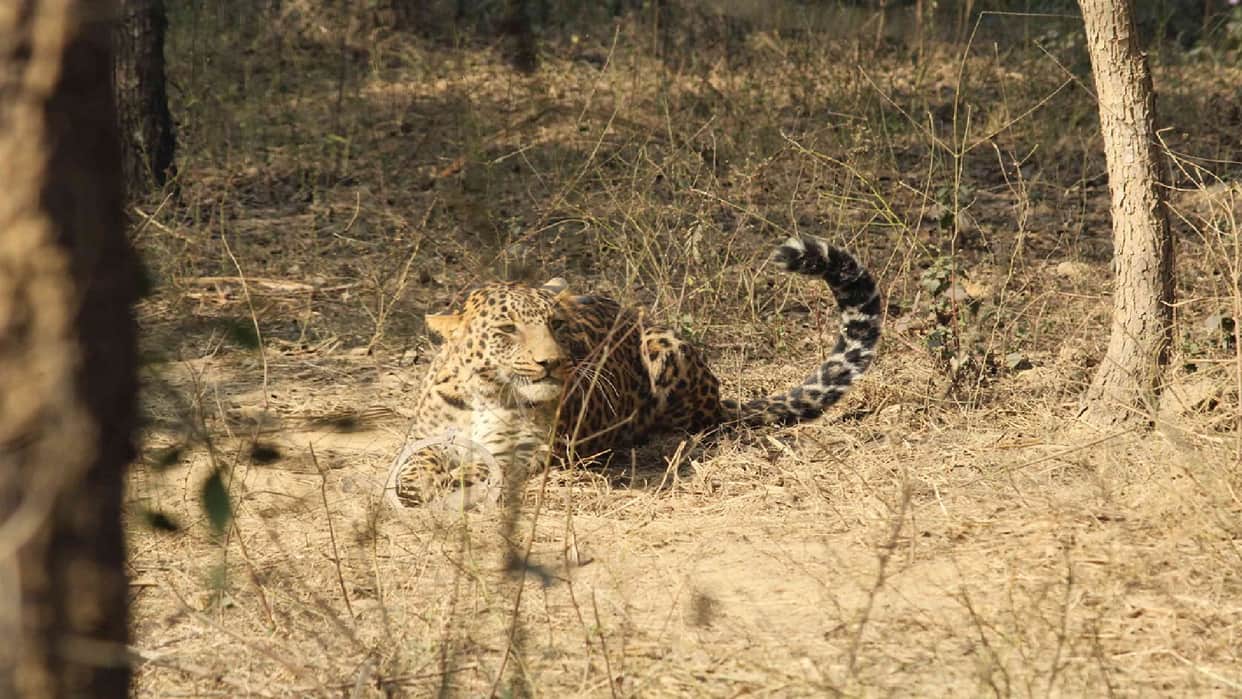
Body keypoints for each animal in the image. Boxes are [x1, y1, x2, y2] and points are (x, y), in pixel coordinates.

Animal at [390, 234, 881, 509]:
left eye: (556, 324)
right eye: (507, 330)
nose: (552, 362)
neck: (488, 394)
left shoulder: (528, 452)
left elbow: (483, 467)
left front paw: (451, 482)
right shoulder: (428, 437)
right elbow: (417, 461)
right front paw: (417, 482)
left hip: (665, 347)